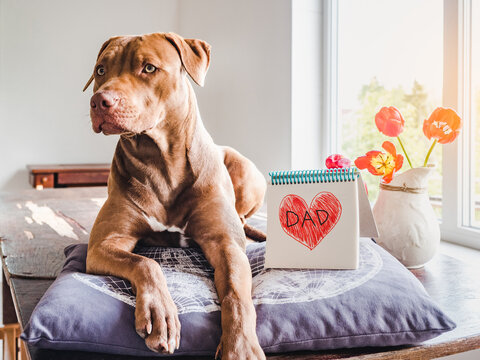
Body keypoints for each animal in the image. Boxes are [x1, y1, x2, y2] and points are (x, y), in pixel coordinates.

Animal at [85, 32, 268, 358]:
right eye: (101, 70)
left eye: (148, 68)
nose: (99, 101)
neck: (160, 162)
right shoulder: (103, 244)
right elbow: (146, 263)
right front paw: (160, 315)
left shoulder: (225, 244)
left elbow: (236, 293)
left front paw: (241, 346)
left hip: (245, 170)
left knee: (243, 216)